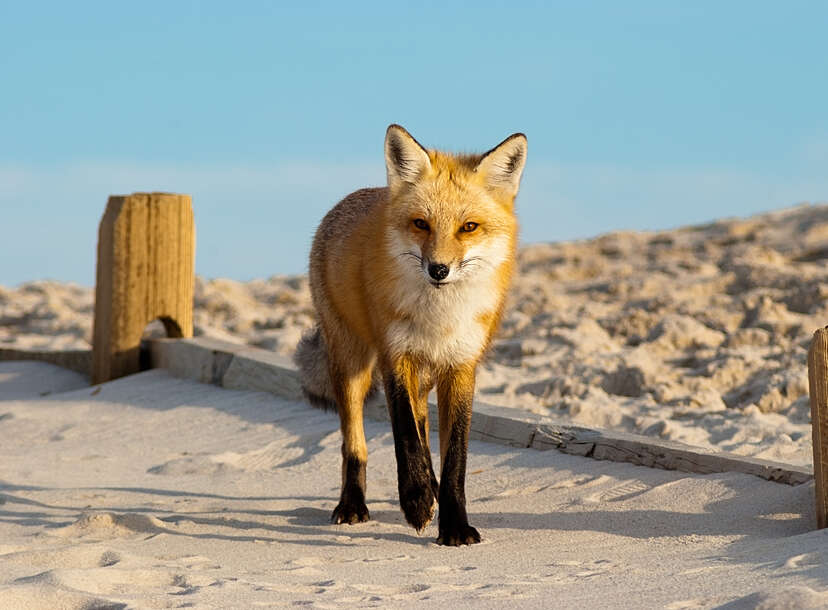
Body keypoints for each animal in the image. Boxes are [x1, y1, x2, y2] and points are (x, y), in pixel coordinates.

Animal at [296, 122, 524, 540]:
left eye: (469, 227)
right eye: (421, 223)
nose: (439, 269)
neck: (439, 317)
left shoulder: (461, 366)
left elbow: (454, 458)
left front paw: (454, 525)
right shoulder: (395, 357)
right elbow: (405, 435)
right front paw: (416, 502)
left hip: (423, 374)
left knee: (424, 427)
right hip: (352, 364)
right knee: (354, 445)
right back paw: (353, 504)